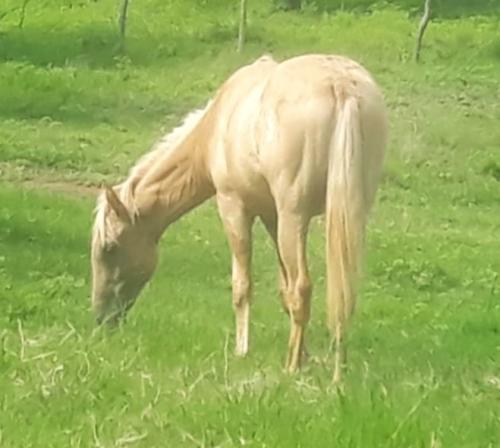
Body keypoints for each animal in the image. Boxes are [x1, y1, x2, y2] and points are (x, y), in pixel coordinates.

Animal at [91, 53, 386, 382]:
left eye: (110, 248)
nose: (102, 318)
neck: (216, 125)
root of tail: (342, 86)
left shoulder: (234, 208)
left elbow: (243, 285)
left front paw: (242, 350)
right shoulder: (271, 217)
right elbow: (283, 289)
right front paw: (305, 355)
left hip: (294, 217)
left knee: (303, 287)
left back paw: (292, 368)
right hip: (346, 218)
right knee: (342, 291)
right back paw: (337, 372)